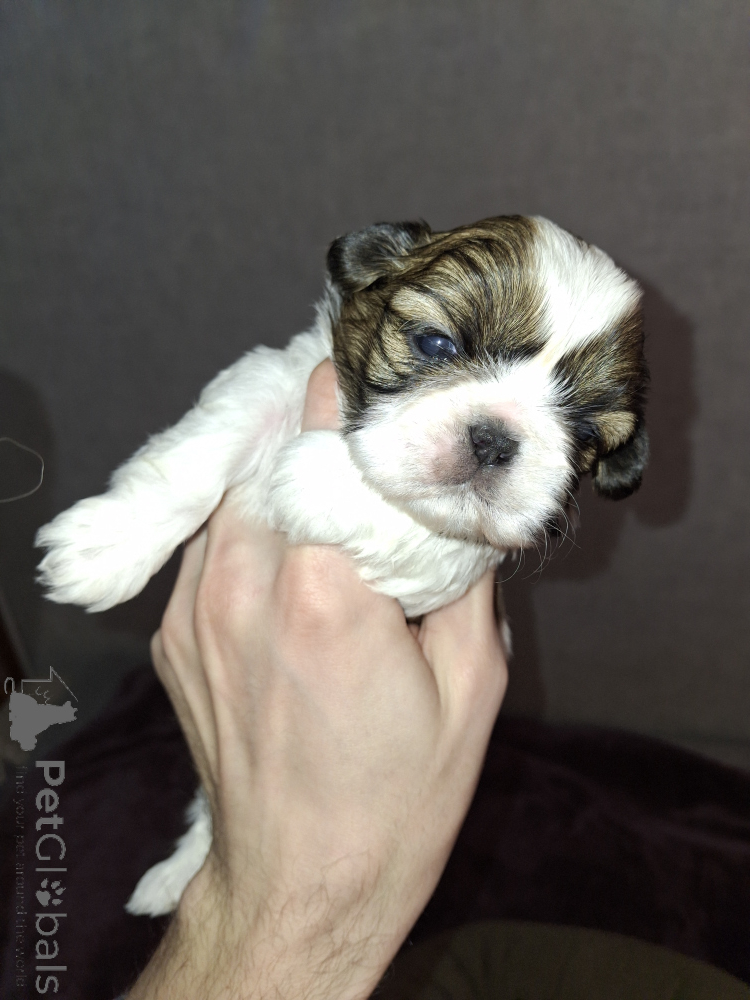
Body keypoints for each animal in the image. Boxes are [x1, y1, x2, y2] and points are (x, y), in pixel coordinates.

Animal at [36, 214, 649, 915]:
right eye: (436, 343)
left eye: (584, 432)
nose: (494, 439)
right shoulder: (269, 381)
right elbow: (199, 452)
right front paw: (103, 547)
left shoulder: (469, 555)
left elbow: (413, 520)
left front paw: (309, 473)